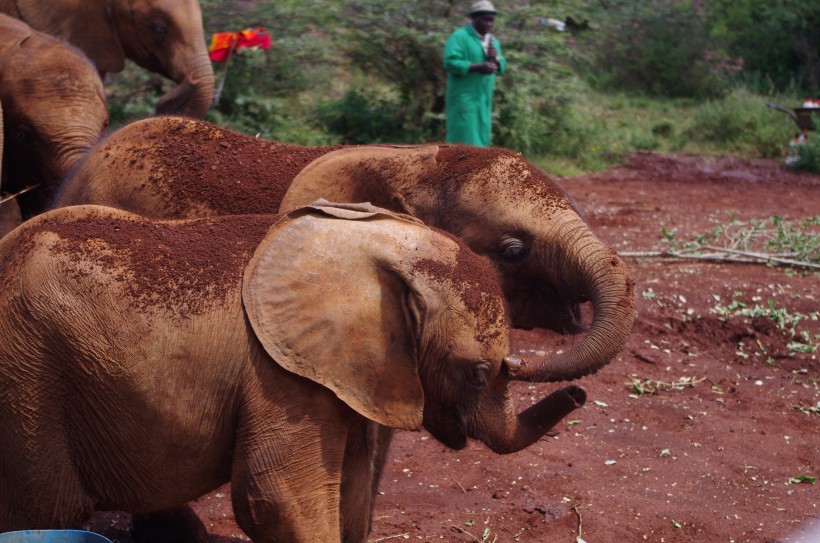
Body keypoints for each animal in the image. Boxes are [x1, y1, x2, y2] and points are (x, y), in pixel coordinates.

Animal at [0, 201, 588, 543]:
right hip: (27, 373)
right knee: (47, 509)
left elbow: (351, 493)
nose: (580, 395)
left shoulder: (346, 373)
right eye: (477, 373)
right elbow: (275, 497)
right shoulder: (281, 374)